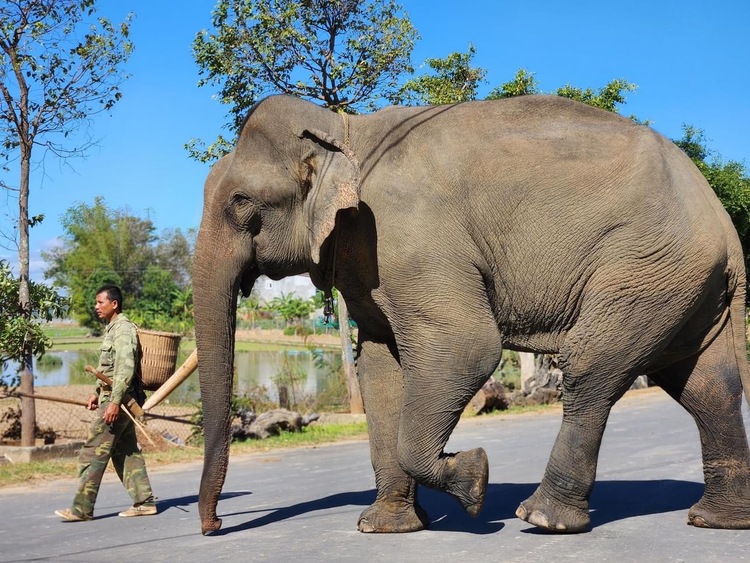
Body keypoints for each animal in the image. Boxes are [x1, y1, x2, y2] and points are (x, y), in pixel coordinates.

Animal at [192, 93, 750, 536]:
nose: (215, 525)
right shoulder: (369, 257)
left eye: (240, 202)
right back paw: (715, 520)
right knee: (705, 385)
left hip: (643, 268)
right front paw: (385, 527)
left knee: (592, 368)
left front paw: (476, 478)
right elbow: (379, 368)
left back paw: (542, 519)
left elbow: (467, 347)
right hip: (680, 285)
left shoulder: (409, 239)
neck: (346, 129)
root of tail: (724, 222)